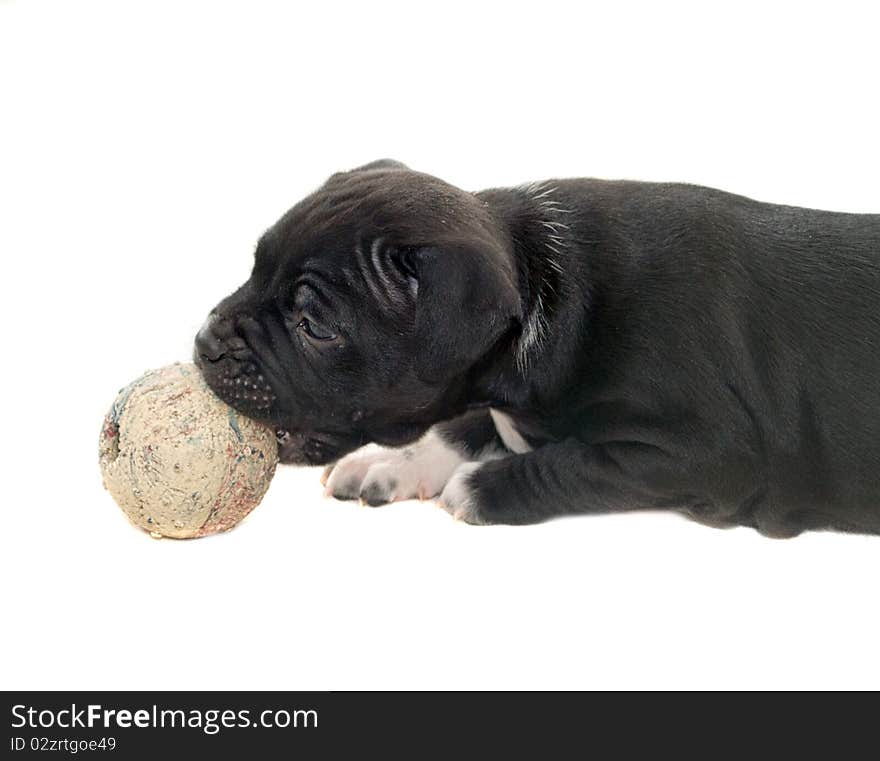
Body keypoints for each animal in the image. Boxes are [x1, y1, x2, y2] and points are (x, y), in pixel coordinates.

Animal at [194, 160, 880, 536]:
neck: (541, 279)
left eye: (314, 326)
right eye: (254, 268)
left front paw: (475, 488)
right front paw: (394, 463)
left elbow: (576, 463)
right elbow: (469, 422)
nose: (204, 344)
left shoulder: (704, 453)